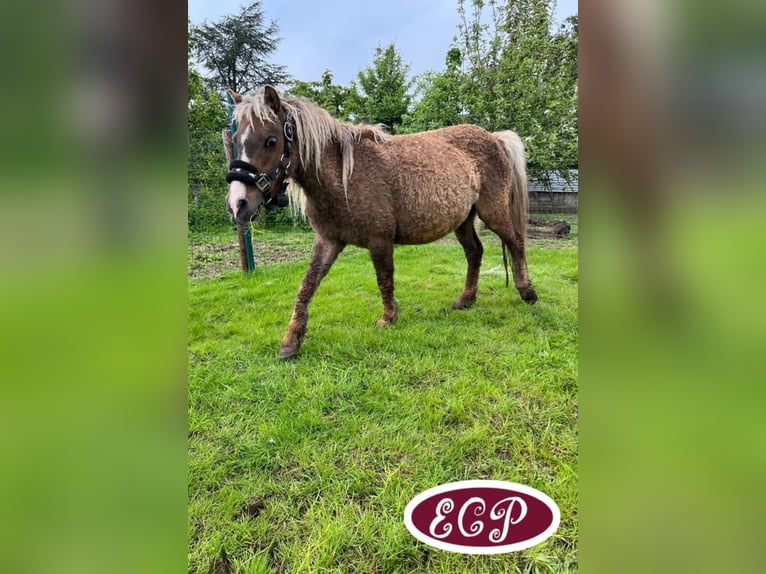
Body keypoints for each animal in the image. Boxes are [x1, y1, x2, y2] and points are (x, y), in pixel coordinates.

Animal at [226, 84, 540, 360]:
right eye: (236, 139)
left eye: (271, 141)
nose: (237, 204)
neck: (344, 176)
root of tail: (494, 138)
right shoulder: (328, 240)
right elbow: (307, 285)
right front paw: (291, 340)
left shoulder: (379, 240)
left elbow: (384, 279)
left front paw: (388, 318)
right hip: (463, 220)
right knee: (475, 252)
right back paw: (466, 300)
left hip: (493, 211)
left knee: (515, 242)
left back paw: (528, 293)